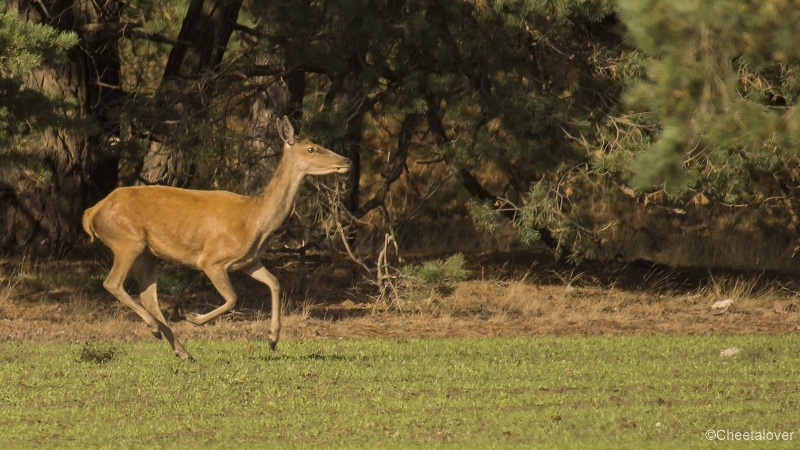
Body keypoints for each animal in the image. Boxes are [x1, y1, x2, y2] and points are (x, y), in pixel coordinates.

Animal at [82, 116, 354, 358]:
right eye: (311, 148)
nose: (347, 160)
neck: (254, 219)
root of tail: (93, 211)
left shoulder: (248, 260)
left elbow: (275, 282)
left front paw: (273, 339)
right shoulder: (212, 259)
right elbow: (233, 298)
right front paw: (192, 317)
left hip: (148, 253)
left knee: (149, 297)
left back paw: (181, 350)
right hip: (127, 240)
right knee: (112, 282)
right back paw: (156, 329)